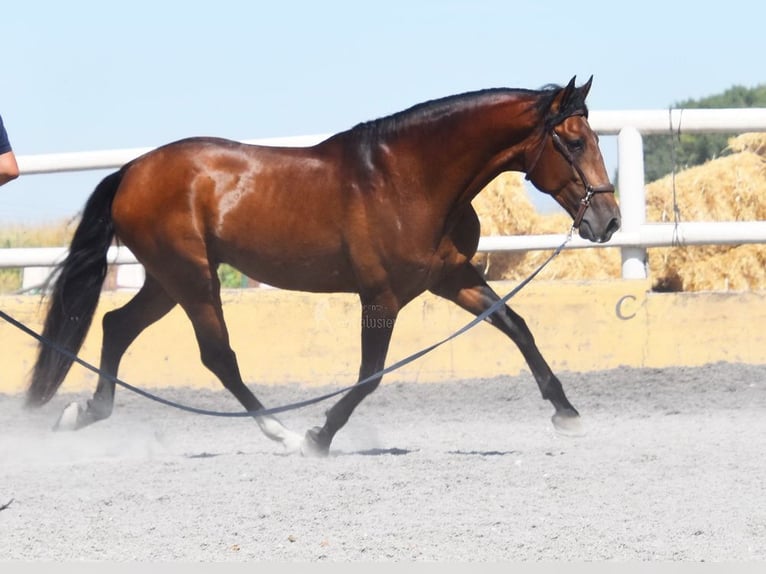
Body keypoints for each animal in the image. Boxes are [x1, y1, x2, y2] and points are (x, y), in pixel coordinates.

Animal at [27, 76, 620, 456]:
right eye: (572, 142)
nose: (609, 220)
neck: (407, 178)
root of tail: (131, 170)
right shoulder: (381, 297)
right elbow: (370, 374)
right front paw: (320, 436)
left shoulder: (451, 278)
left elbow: (516, 326)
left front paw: (567, 414)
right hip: (192, 278)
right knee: (217, 356)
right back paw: (284, 435)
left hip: (167, 280)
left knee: (116, 326)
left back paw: (82, 413)